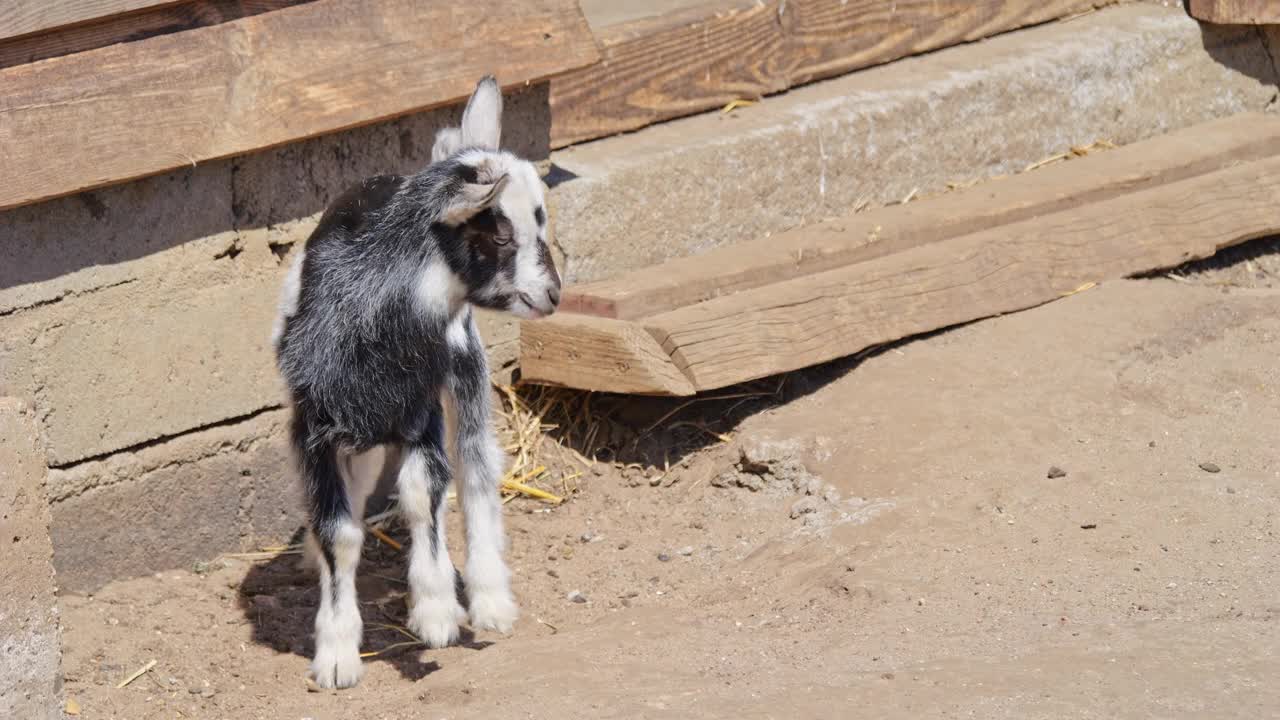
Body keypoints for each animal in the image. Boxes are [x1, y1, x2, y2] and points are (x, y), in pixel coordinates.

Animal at [272, 75, 558, 686]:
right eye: (501, 235)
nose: (553, 294)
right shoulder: (314, 430)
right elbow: (340, 531)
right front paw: (337, 653)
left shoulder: (421, 410)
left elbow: (422, 493)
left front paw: (435, 612)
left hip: (464, 369)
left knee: (474, 467)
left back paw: (489, 598)